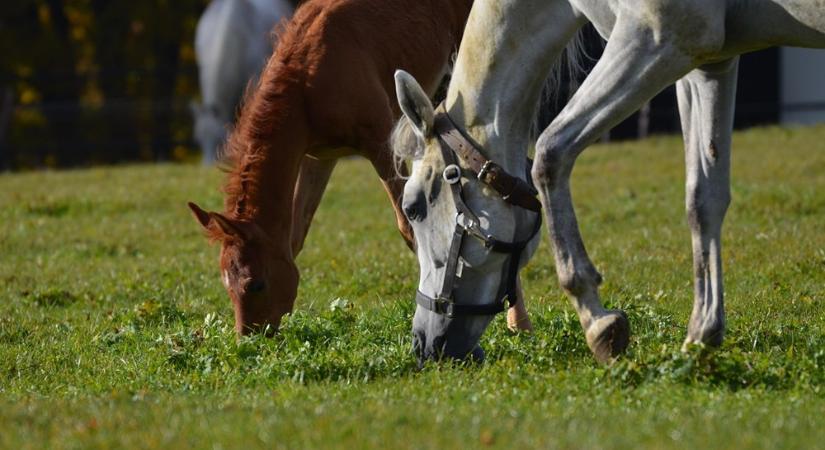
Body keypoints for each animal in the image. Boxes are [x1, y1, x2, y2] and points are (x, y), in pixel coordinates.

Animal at [394, 0, 824, 364]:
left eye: (413, 207)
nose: (421, 344)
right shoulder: (707, 65)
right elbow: (703, 199)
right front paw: (702, 335)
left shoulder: (656, 38)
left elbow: (550, 155)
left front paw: (597, 321)